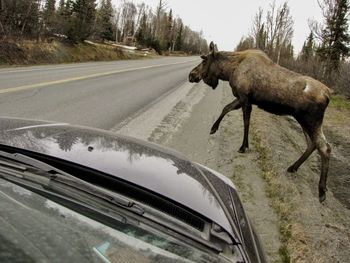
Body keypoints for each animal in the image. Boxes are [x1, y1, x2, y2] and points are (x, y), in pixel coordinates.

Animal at [190, 41, 332, 202]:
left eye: (204, 60)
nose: (191, 75)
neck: (229, 71)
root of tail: (328, 95)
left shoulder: (245, 98)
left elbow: (246, 122)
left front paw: (243, 146)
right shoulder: (241, 98)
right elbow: (226, 108)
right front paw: (214, 128)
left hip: (310, 120)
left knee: (325, 148)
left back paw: (321, 191)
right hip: (302, 120)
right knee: (312, 144)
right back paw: (293, 167)